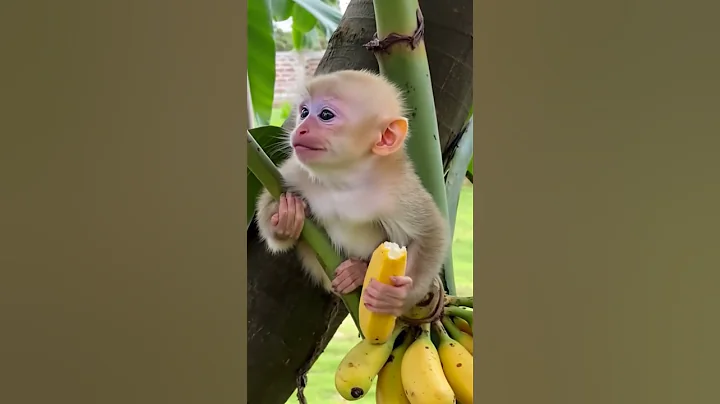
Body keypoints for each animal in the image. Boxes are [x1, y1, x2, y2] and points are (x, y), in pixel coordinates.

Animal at [254, 69, 450, 317]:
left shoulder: (397, 187)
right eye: (304, 112)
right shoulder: (298, 171)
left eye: (325, 115)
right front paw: (284, 220)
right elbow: (268, 200)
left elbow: (431, 232)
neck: (344, 179)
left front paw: (397, 297)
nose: (300, 129)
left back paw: (357, 272)